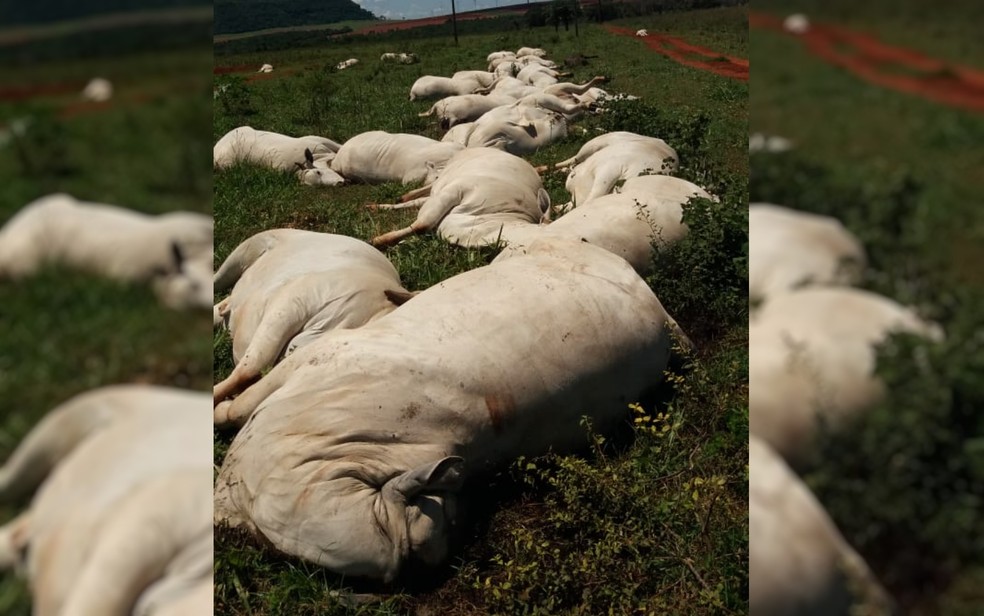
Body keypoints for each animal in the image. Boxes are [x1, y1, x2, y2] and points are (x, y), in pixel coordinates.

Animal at [368, 147, 550, 248]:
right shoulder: (457, 189)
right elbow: (422, 224)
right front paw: (376, 241)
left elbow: (421, 230)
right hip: (443, 183)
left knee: (417, 202)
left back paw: (378, 206)